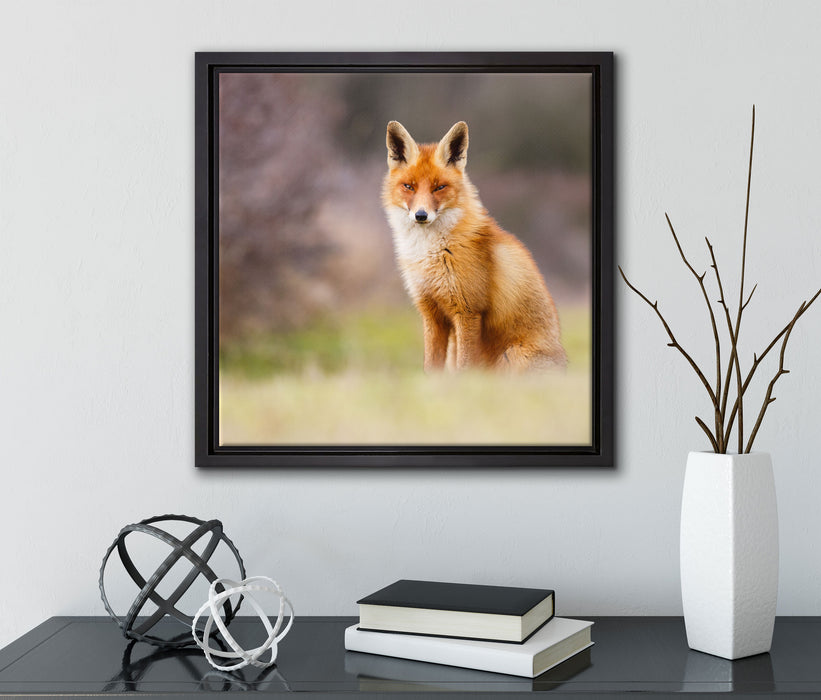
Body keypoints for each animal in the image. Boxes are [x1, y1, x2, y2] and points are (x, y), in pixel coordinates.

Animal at [382, 120, 567, 372]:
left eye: (439, 187)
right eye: (409, 186)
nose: (421, 215)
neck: (431, 252)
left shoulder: (468, 311)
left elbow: (464, 368)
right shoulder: (431, 313)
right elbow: (431, 367)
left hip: (511, 355)